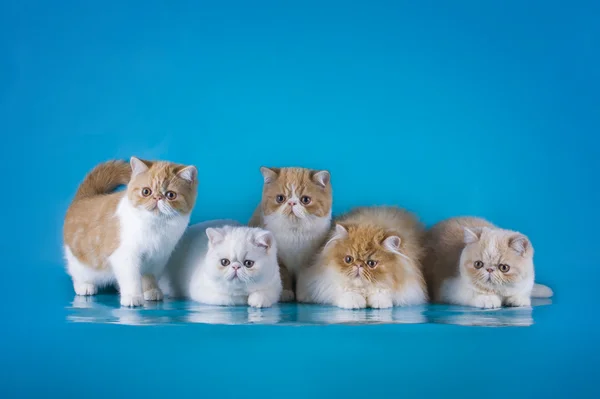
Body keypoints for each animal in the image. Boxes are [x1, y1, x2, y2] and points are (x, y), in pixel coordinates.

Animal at [64, 158, 198, 308]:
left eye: (170, 195)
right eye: (146, 191)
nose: (157, 198)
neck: (155, 226)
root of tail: (85, 197)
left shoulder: (158, 258)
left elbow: (149, 276)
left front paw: (151, 290)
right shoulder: (125, 256)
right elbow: (131, 279)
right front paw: (132, 296)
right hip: (80, 262)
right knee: (78, 274)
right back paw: (85, 286)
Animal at [248, 165, 332, 300]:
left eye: (305, 200)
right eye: (280, 198)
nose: (292, 202)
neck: (294, 233)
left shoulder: (309, 261)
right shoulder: (278, 259)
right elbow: (283, 274)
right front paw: (285, 292)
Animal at [296, 206, 426, 310]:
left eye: (371, 263)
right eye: (348, 259)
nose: (358, 265)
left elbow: (382, 291)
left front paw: (379, 302)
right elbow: (346, 291)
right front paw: (354, 303)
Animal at [422, 219, 552, 310]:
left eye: (504, 268)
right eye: (478, 264)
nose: (489, 269)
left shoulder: (527, 282)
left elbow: (521, 292)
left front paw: (518, 299)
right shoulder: (447, 287)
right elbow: (469, 294)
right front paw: (488, 299)